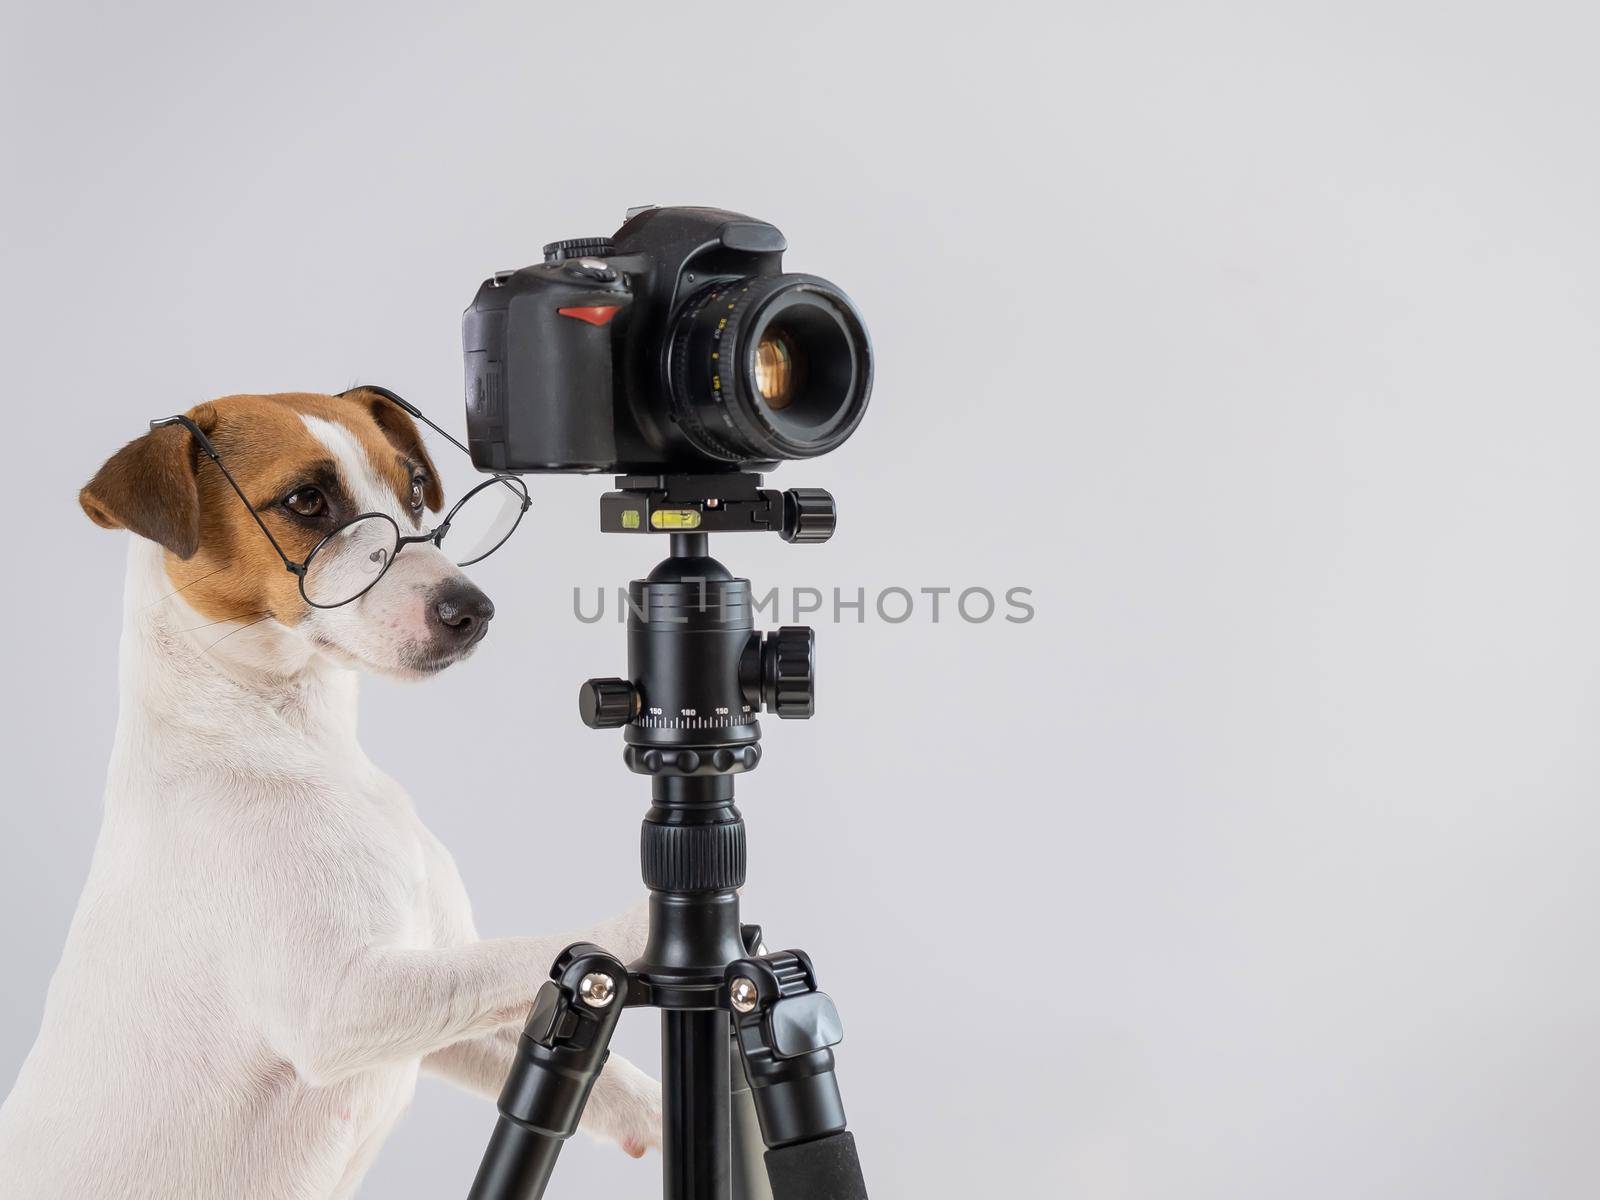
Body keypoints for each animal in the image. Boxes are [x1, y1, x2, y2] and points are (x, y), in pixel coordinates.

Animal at [0, 390, 659, 1196]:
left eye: (415, 488)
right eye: (306, 501)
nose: (472, 610)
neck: (292, 737)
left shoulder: (438, 1018)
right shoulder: (344, 1006)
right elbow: (530, 953)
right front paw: (652, 921)